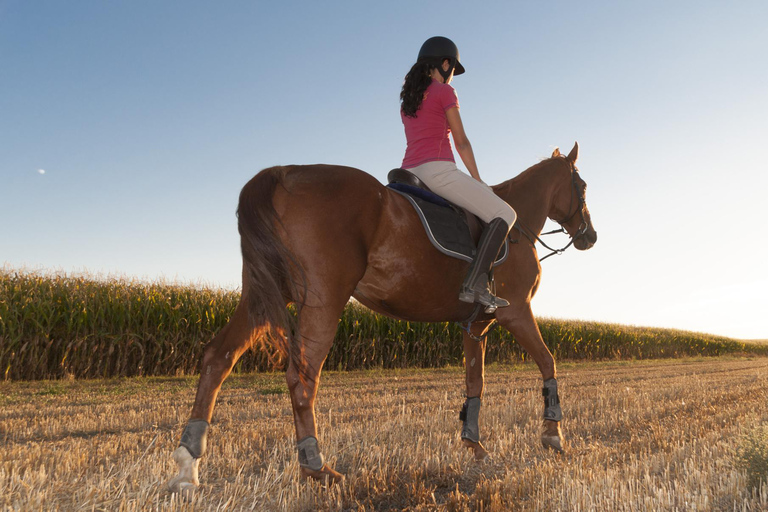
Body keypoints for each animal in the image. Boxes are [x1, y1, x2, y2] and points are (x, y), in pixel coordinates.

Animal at [168, 142, 597, 492]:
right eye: (583, 186)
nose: (589, 237)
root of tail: (284, 172)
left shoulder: (477, 324)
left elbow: (475, 382)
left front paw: (475, 446)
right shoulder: (516, 312)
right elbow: (548, 363)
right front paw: (553, 435)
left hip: (262, 295)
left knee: (218, 357)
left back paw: (188, 465)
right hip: (323, 301)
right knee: (302, 377)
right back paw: (316, 467)